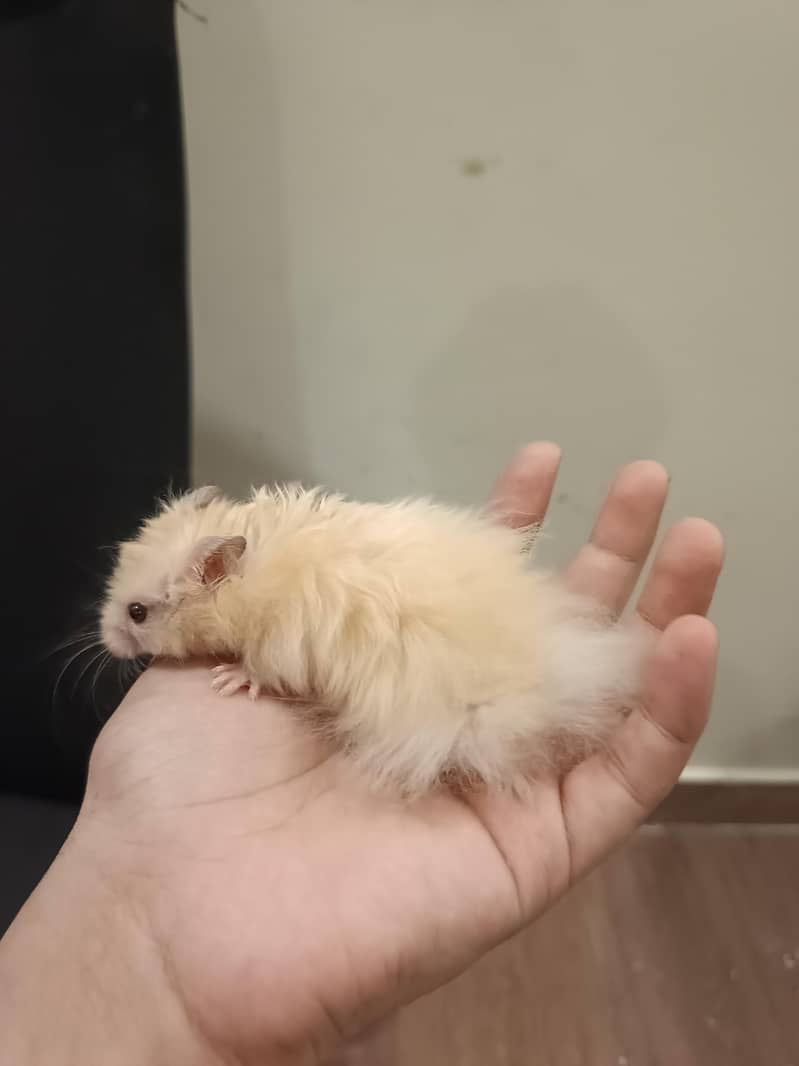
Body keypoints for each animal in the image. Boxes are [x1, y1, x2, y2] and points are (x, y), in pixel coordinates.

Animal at [100, 484, 645, 796]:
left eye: (137, 612)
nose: (105, 640)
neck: (247, 585)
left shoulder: (277, 644)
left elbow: (257, 669)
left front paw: (226, 679)